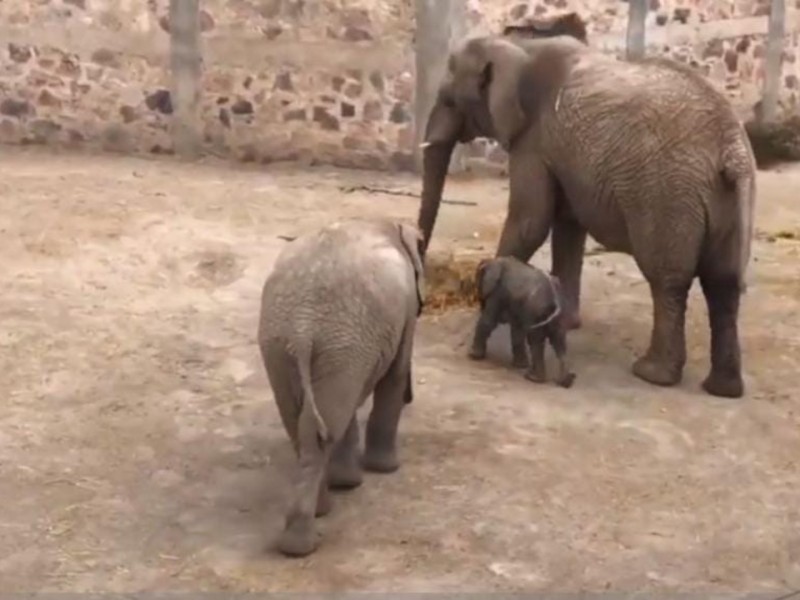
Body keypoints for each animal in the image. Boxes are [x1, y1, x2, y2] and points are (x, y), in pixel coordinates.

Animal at [260, 217, 428, 556]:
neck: (387, 222)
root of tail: (302, 328)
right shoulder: (403, 314)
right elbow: (395, 375)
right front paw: (385, 470)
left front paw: (350, 480)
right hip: (337, 343)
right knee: (322, 426)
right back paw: (303, 542)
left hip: (287, 347)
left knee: (303, 425)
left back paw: (320, 511)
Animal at [468, 254, 576, 390]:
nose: (480, 301)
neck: (494, 261)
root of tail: (555, 301)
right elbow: (517, 330)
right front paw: (520, 365)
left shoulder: (498, 293)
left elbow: (489, 321)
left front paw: (472, 356)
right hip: (558, 317)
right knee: (559, 342)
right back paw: (565, 382)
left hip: (537, 312)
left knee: (536, 341)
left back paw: (533, 378)